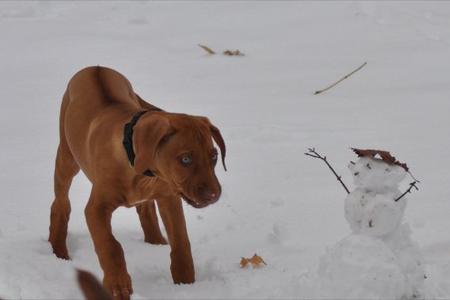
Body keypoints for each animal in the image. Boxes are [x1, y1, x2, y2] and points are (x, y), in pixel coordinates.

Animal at [49, 66, 227, 300]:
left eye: (214, 156)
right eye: (186, 159)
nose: (215, 195)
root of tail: (95, 67)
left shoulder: (169, 198)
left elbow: (181, 241)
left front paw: (186, 283)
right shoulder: (96, 209)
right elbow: (111, 245)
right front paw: (118, 284)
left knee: (146, 209)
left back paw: (156, 241)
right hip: (67, 158)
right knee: (61, 203)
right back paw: (59, 250)